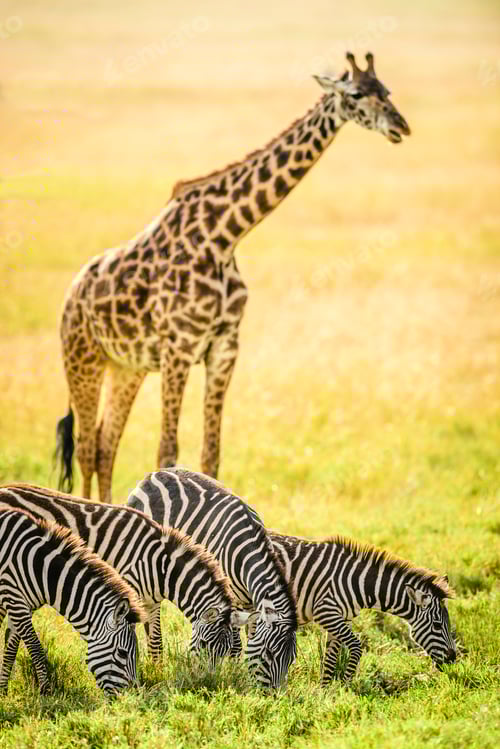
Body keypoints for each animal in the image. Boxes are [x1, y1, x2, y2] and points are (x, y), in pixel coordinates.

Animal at [0, 484, 249, 667]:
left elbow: (156, 642)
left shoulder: (151, 602)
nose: (207, 679)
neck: (159, 564)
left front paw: (157, 672)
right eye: (205, 645)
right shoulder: (129, 595)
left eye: (226, 651)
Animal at [0, 507, 144, 695]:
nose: (130, 697)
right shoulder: (14, 598)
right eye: (122, 653)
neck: (42, 570)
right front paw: (46, 692)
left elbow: (11, 648)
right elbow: (36, 647)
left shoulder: (21, 605)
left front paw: (3, 691)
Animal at [55, 52, 411, 501]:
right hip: (83, 359)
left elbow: (211, 453)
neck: (224, 236)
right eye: (357, 95)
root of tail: (71, 294)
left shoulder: (224, 347)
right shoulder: (179, 347)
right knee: (86, 448)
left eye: (387, 91)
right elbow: (167, 451)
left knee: (105, 445)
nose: (401, 126)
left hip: (126, 367)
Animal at [127, 468, 298, 690]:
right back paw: (157, 666)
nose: (273, 694)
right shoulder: (232, 599)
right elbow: (236, 644)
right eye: (269, 654)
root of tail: (155, 473)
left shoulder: (251, 603)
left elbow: (251, 636)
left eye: (291, 659)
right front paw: (234, 672)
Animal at [260, 531, 457, 685]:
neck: (358, 583)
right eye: (437, 625)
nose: (453, 659)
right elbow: (356, 646)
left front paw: (326, 693)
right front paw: (346, 685)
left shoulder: (340, 619)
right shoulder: (325, 612)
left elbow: (330, 658)